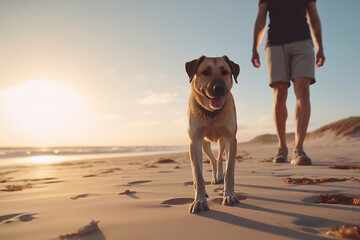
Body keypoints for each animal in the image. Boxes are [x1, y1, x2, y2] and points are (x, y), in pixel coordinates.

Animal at [184, 55, 240, 213]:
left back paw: (219, 176)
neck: (211, 113)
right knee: (212, 161)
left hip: (222, 141)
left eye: (225, 72)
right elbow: (198, 174)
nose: (220, 88)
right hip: (204, 144)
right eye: (205, 72)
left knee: (219, 159)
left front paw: (229, 195)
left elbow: (229, 171)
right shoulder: (195, 141)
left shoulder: (230, 138)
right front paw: (199, 200)